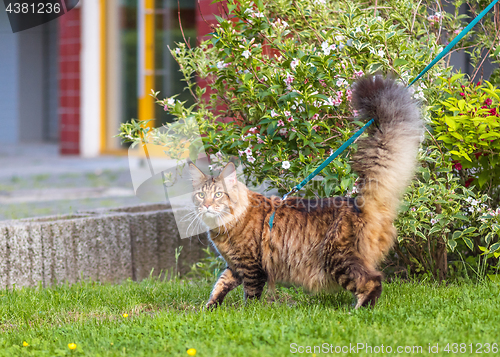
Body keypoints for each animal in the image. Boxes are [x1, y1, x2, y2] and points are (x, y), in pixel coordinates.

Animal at [188, 76, 422, 308]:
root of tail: (358, 204)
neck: (223, 226)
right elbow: (220, 286)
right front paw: (209, 309)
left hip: (338, 259)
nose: (207, 205)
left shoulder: (252, 266)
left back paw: (358, 310)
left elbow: (251, 295)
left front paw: (247, 312)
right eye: (201, 195)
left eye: (218, 195)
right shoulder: (234, 266)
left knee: (373, 281)